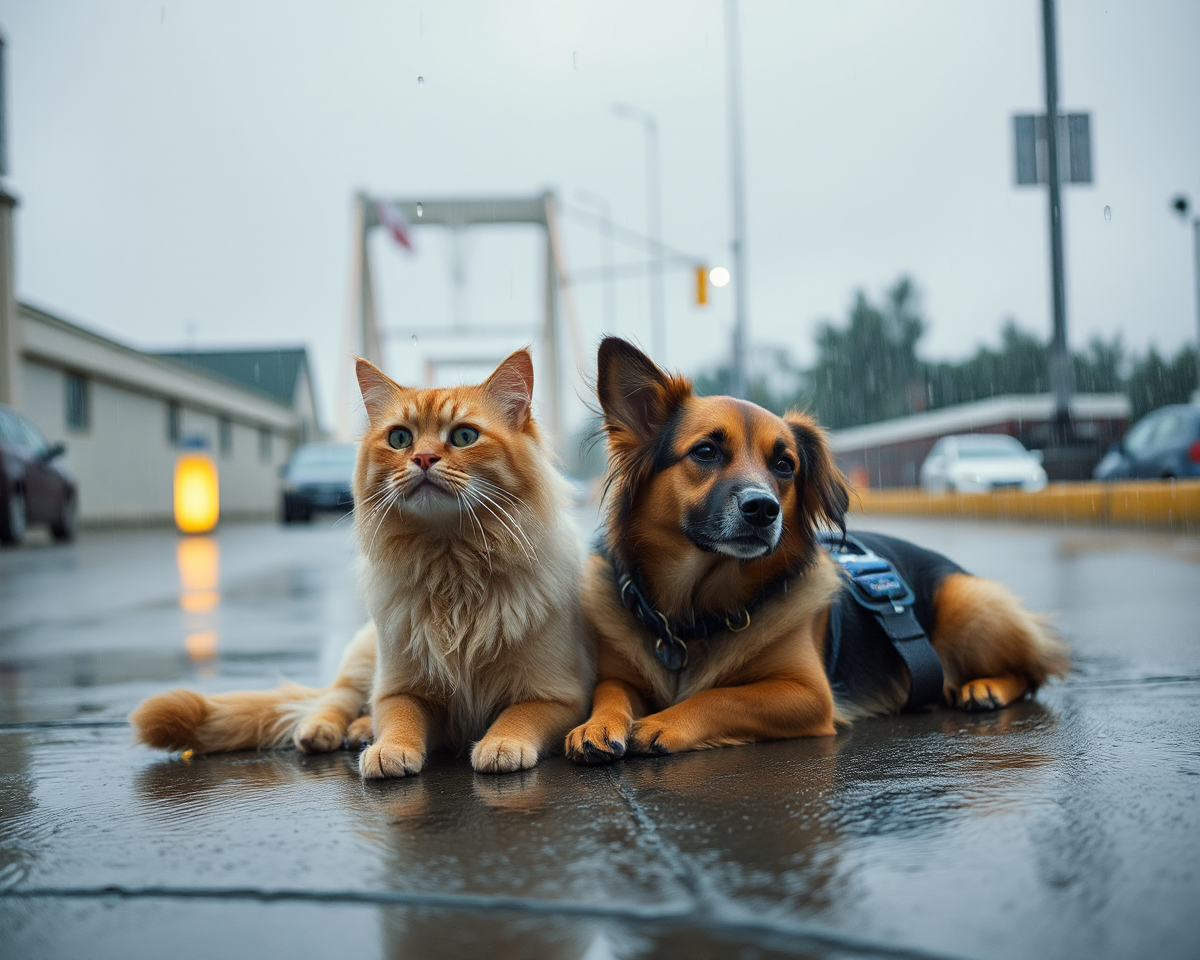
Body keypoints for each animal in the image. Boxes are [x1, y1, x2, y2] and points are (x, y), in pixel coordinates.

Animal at [129, 348, 592, 777]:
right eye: (400, 439)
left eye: (464, 436)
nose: (423, 459)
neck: (452, 565)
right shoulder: (399, 688)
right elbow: (399, 717)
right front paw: (389, 750)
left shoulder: (559, 695)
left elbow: (518, 715)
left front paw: (500, 744)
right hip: (364, 655)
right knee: (337, 699)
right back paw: (332, 731)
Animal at [561, 338, 1070, 763]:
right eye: (705, 451)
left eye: (784, 465)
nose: (763, 509)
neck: (695, 614)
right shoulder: (621, 675)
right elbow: (609, 691)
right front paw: (597, 725)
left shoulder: (807, 694)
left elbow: (720, 695)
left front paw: (664, 722)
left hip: (970, 603)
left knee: (1033, 673)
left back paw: (984, 687)